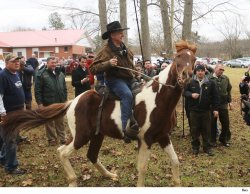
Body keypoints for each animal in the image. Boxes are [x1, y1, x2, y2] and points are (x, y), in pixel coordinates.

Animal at [2, 40, 196, 186]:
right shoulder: (145, 140)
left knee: (87, 154)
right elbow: (142, 168)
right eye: (178, 57)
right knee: (63, 152)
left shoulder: (163, 137)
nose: (185, 76)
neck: (157, 98)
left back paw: (109, 175)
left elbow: (175, 162)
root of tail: (73, 101)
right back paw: (73, 181)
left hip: (95, 135)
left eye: (193, 58)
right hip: (82, 136)